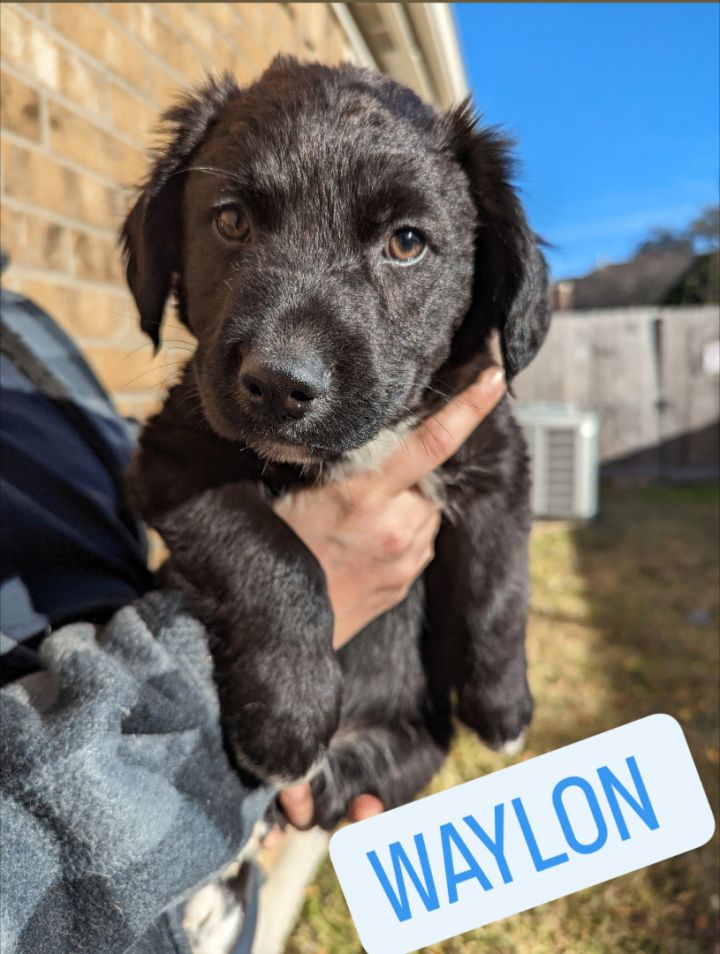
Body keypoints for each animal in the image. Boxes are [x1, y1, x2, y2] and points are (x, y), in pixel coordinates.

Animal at [124, 55, 552, 824]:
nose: (280, 383)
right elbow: (277, 560)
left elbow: (500, 582)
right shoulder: (173, 461)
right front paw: (289, 719)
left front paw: (504, 706)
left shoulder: (496, 455)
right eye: (231, 221)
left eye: (407, 243)